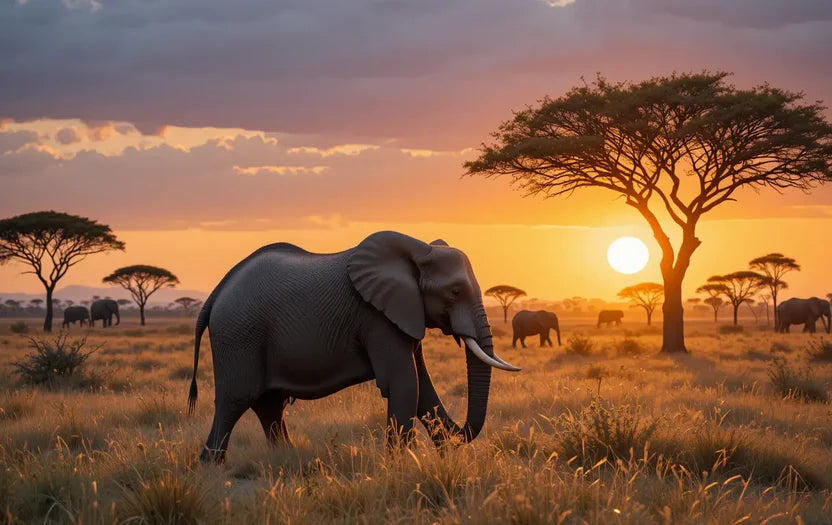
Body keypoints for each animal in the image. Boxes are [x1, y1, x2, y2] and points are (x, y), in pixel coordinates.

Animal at [188, 231, 520, 463]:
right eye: (454, 292)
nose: (452, 444)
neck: (417, 249)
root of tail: (215, 294)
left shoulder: (404, 313)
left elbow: (422, 387)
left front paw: (440, 461)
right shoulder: (375, 317)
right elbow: (404, 383)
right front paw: (403, 467)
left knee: (269, 405)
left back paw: (286, 458)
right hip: (238, 335)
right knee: (235, 401)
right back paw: (212, 466)